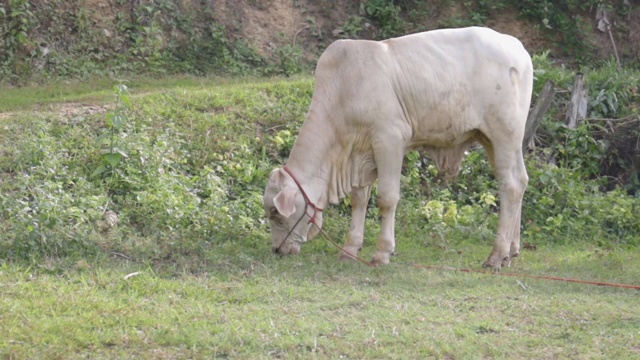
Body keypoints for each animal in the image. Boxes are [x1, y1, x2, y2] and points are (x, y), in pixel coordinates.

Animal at [262, 26, 532, 268]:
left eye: (275, 213)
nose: (277, 250)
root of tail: (516, 45)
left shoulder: (389, 139)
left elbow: (387, 198)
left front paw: (382, 253)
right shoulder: (361, 153)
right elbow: (359, 199)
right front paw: (350, 249)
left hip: (504, 133)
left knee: (510, 185)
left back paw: (496, 256)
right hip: (492, 139)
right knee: (520, 180)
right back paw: (511, 251)